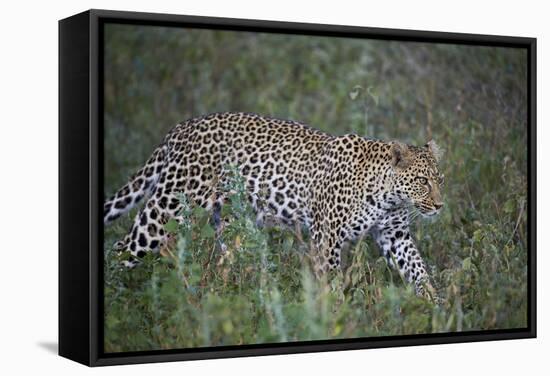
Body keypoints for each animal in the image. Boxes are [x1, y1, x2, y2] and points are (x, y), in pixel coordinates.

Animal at [105, 111, 446, 296]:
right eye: (422, 181)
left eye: (439, 179)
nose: (440, 206)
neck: (387, 196)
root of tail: (179, 129)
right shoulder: (327, 238)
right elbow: (332, 281)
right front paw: (335, 313)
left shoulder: (395, 235)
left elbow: (418, 269)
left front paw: (436, 306)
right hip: (165, 212)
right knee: (121, 249)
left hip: (229, 224)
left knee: (226, 265)